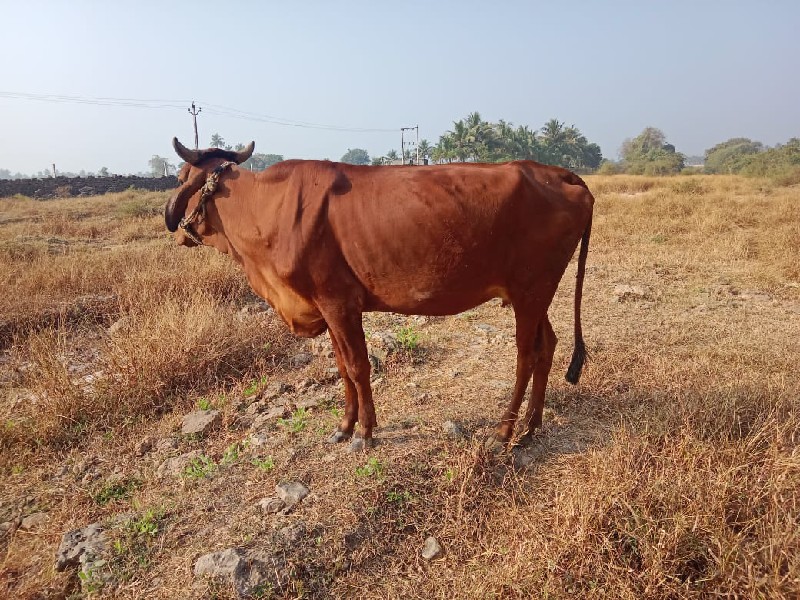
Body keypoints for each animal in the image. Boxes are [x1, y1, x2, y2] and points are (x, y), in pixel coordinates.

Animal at [164, 139, 592, 450]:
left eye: (181, 175)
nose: (169, 216)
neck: (267, 212)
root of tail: (559, 173)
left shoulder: (338, 302)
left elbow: (357, 367)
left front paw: (364, 432)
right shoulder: (327, 307)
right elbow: (341, 367)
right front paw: (343, 425)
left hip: (531, 290)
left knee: (526, 355)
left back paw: (504, 431)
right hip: (533, 292)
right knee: (548, 345)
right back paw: (531, 427)